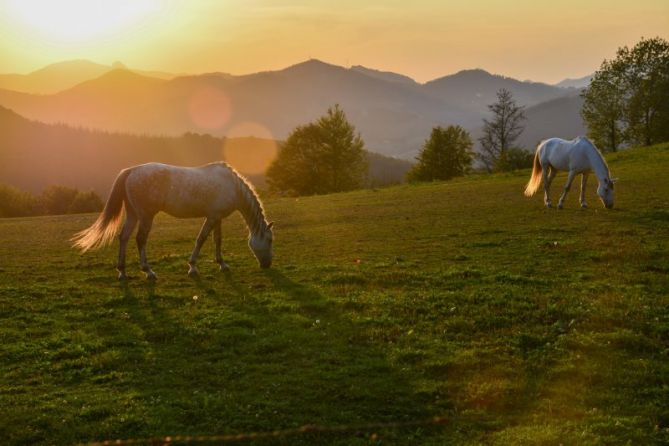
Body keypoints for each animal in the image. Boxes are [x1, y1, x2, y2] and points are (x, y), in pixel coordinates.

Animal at [72, 162, 272, 280]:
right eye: (270, 240)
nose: (267, 265)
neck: (232, 185)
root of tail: (132, 171)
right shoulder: (212, 217)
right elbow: (201, 239)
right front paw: (192, 267)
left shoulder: (217, 217)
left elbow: (217, 240)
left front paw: (222, 264)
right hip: (146, 216)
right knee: (140, 239)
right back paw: (148, 271)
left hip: (133, 214)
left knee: (124, 237)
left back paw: (122, 271)